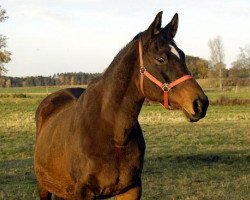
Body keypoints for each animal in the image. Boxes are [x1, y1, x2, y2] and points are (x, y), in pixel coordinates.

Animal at [33, 11, 209, 199]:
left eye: (182, 55)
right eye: (160, 58)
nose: (200, 103)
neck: (114, 135)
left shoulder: (131, 189)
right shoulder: (83, 193)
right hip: (44, 186)